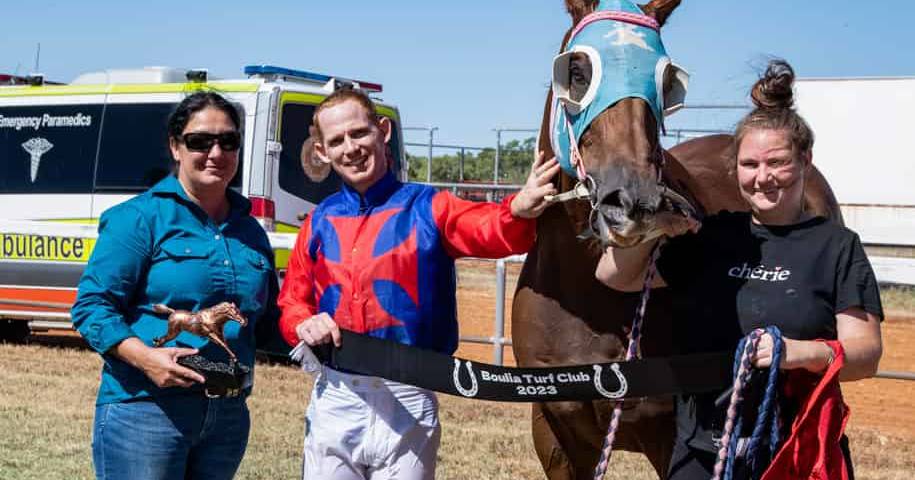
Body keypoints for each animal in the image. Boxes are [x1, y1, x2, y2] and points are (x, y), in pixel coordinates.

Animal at [512, 1, 840, 478]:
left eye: (667, 82)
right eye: (576, 71)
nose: (635, 203)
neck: (587, 290)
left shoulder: (669, 436)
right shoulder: (556, 433)